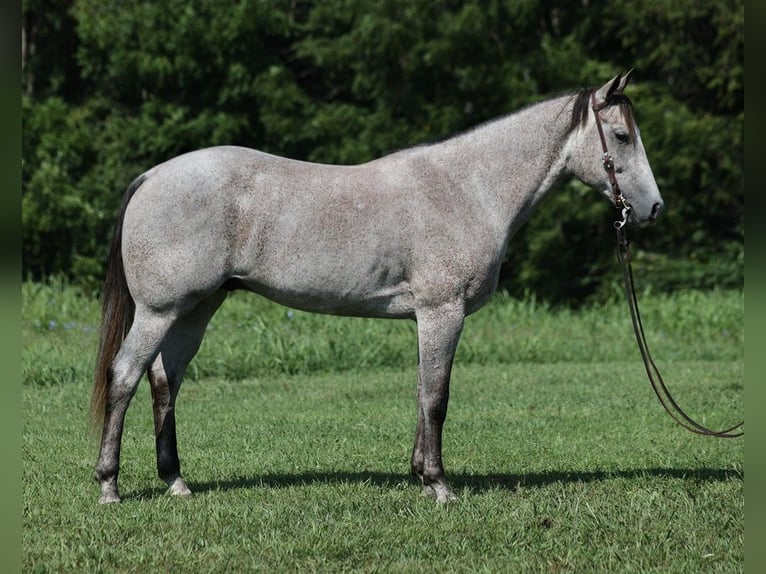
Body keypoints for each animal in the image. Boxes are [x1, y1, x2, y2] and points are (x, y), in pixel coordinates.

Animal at [90, 71, 664, 504]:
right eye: (621, 137)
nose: (654, 208)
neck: (469, 189)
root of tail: (151, 176)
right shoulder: (442, 312)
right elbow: (436, 396)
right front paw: (439, 486)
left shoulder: (426, 319)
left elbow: (421, 390)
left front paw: (420, 474)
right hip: (159, 311)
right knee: (125, 376)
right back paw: (109, 486)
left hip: (195, 310)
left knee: (165, 382)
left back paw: (176, 482)